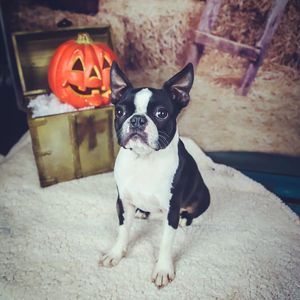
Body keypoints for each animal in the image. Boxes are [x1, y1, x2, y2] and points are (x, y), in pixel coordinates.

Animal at [99, 61, 210, 288]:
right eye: (120, 111)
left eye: (161, 114)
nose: (137, 120)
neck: (144, 160)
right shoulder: (123, 201)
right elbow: (122, 231)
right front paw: (116, 253)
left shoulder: (171, 209)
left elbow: (166, 242)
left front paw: (163, 270)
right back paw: (142, 212)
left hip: (203, 194)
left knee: (193, 211)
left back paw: (185, 218)